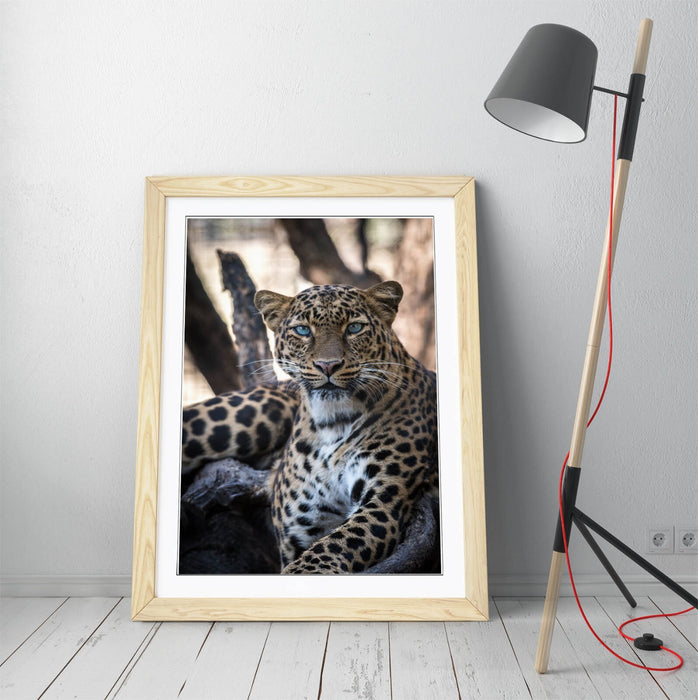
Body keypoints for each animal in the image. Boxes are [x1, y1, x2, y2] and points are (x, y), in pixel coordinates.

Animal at [182, 281, 438, 574]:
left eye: (354, 328)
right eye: (303, 330)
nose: (328, 365)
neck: (332, 424)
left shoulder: (384, 503)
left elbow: (333, 545)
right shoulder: (302, 525)